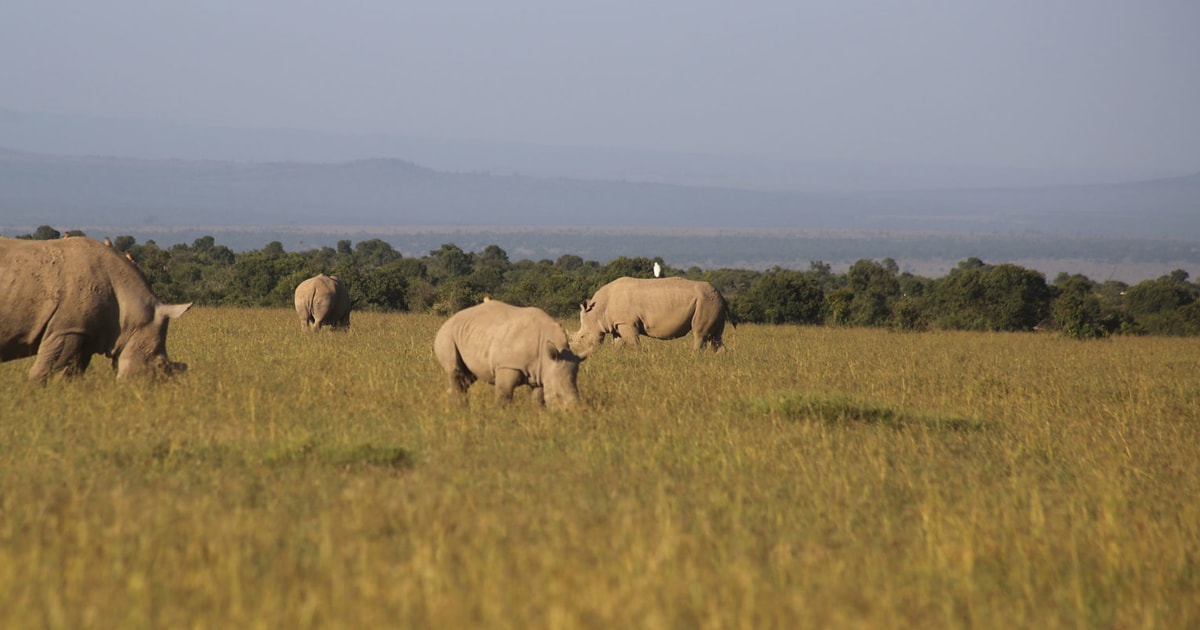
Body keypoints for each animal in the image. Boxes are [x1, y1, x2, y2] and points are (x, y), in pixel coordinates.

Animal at [0, 235, 192, 381]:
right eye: (159, 364)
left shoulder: (87, 333)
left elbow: (73, 373)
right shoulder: (67, 329)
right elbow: (42, 371)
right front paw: (33, 396)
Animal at [436, 300, 595, 408]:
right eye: (558, 395)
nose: (572, 414)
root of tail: (448, 321)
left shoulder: (541, 370)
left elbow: (538, 398)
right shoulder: (508, 365)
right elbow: (504, 395)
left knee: (467, 377)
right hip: (447, 334)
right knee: (455, 371)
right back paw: (460, 409)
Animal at [573, 276, 729, 350]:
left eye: (582, 337)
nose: (576, 352)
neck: (597, 311)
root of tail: (722, 296)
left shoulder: (626, 323)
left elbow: (634, 344)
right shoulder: (617, 324)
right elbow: (617, 346)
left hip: (706, 302)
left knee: (700, 334)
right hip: (714, 303)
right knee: (715, 338)